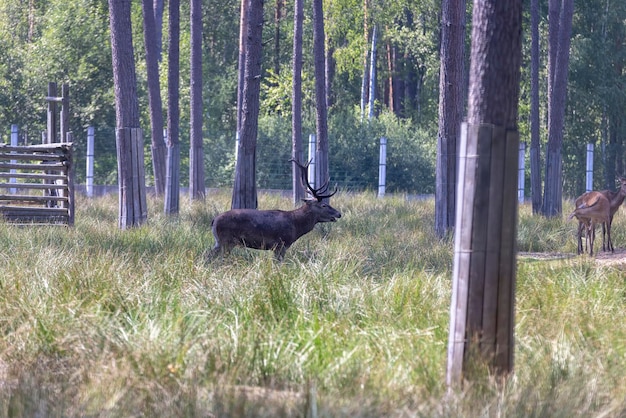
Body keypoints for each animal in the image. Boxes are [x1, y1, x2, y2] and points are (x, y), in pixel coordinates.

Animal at [204, 160, 342, 262]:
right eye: (324, 205)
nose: (339, 214)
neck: (296, 226)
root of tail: (214, 220)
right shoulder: (281, 244)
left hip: (219, 242)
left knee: (208, 256)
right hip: (226, 241)